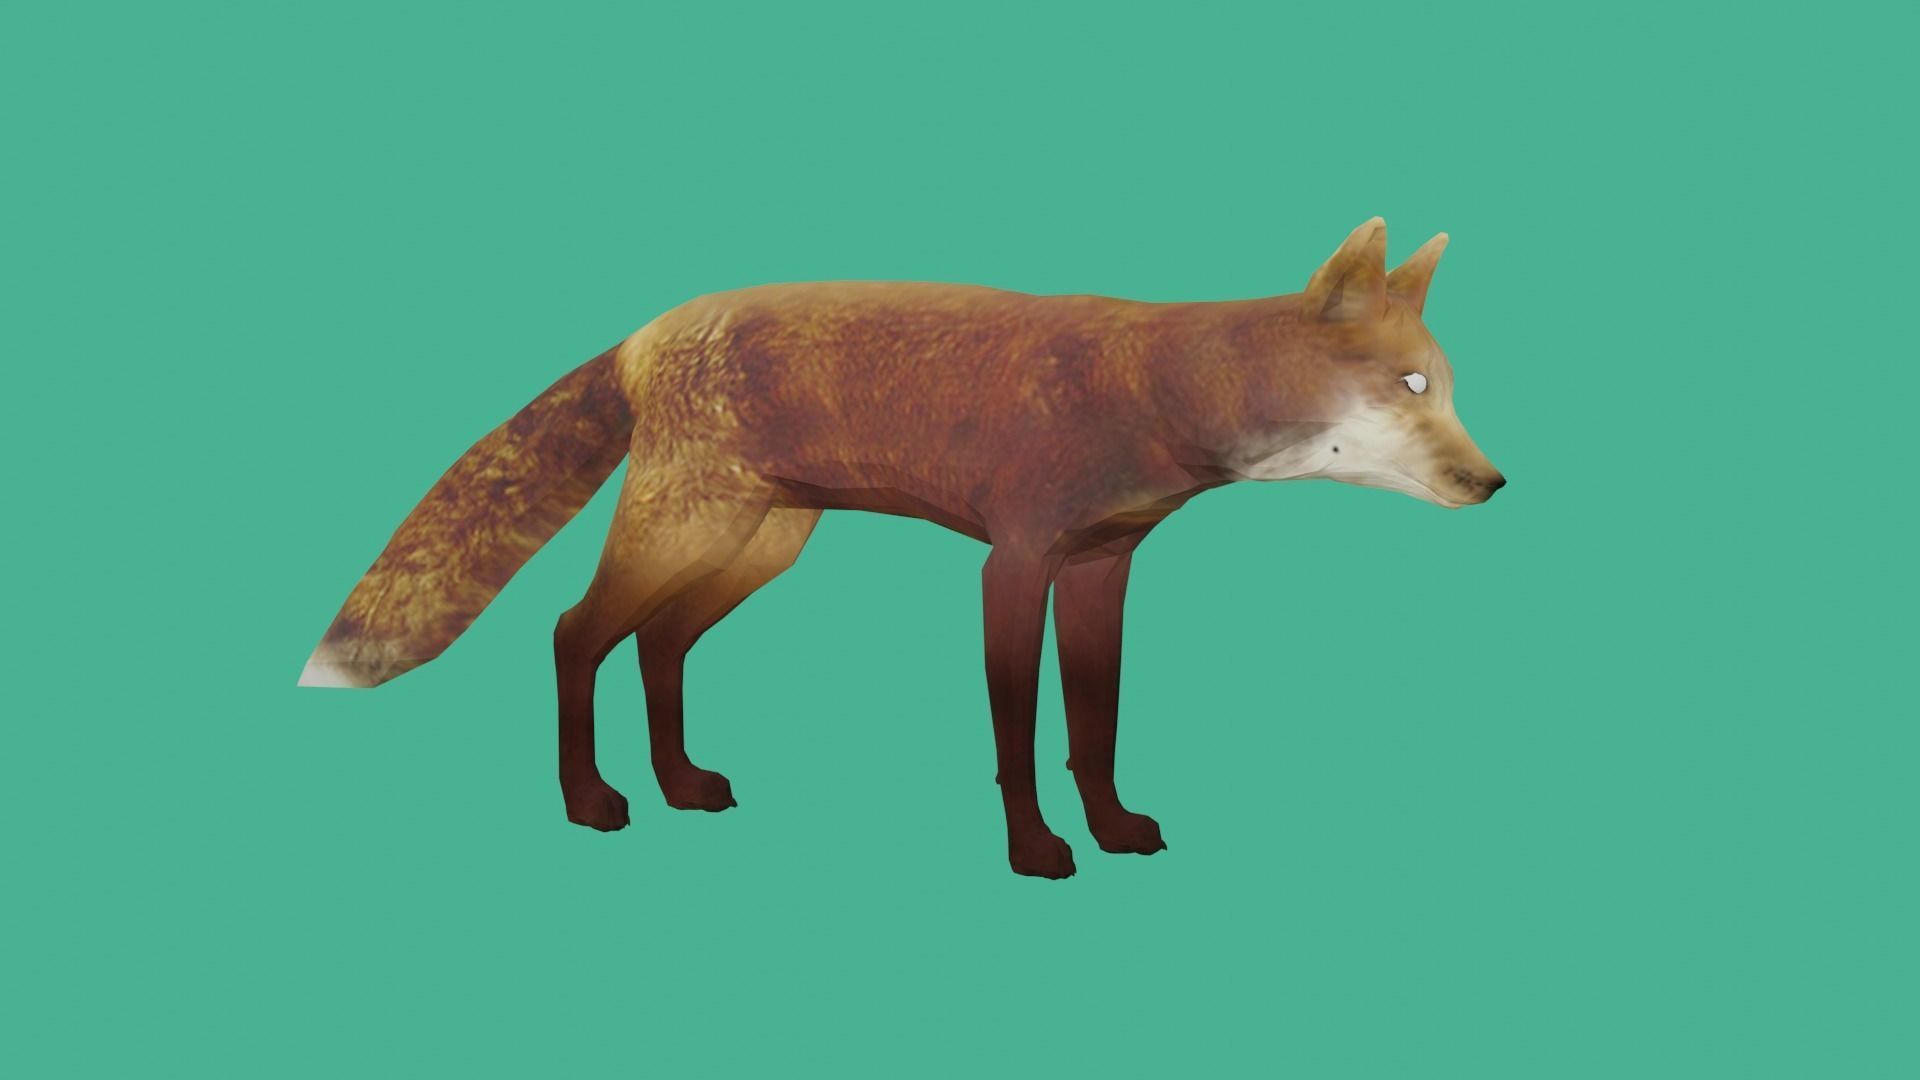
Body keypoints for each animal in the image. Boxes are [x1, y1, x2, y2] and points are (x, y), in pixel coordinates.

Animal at [300, 217, 1505, 878]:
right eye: (1410, 388)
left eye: (1448, 392)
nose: (1494, 483)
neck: (1152, 389)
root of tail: (643, 331)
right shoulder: (1013, 564)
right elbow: (1021, 739)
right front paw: (1035, 852)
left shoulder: (1103, 567)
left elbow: (1096, 727)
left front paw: (1111, 827)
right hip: (686, 531)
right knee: (571, 632)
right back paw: (591, 802)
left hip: (755, 548)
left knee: (658, 646)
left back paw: (681, 782)